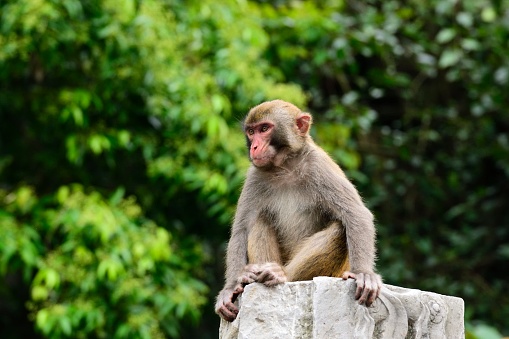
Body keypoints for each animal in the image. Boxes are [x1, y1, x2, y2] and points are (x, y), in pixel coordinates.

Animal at [214, 99, 380, 322]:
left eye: (264, 129)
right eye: (251, 131)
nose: (254, 146)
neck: (285, 166)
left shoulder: (319, 167)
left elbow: (356, 215)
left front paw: (363, 273)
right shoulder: (255, 177)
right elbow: (241, 230)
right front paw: (231, 288)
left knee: (339, 229)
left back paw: (281, 275)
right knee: (258, 221)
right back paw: (256, 275)